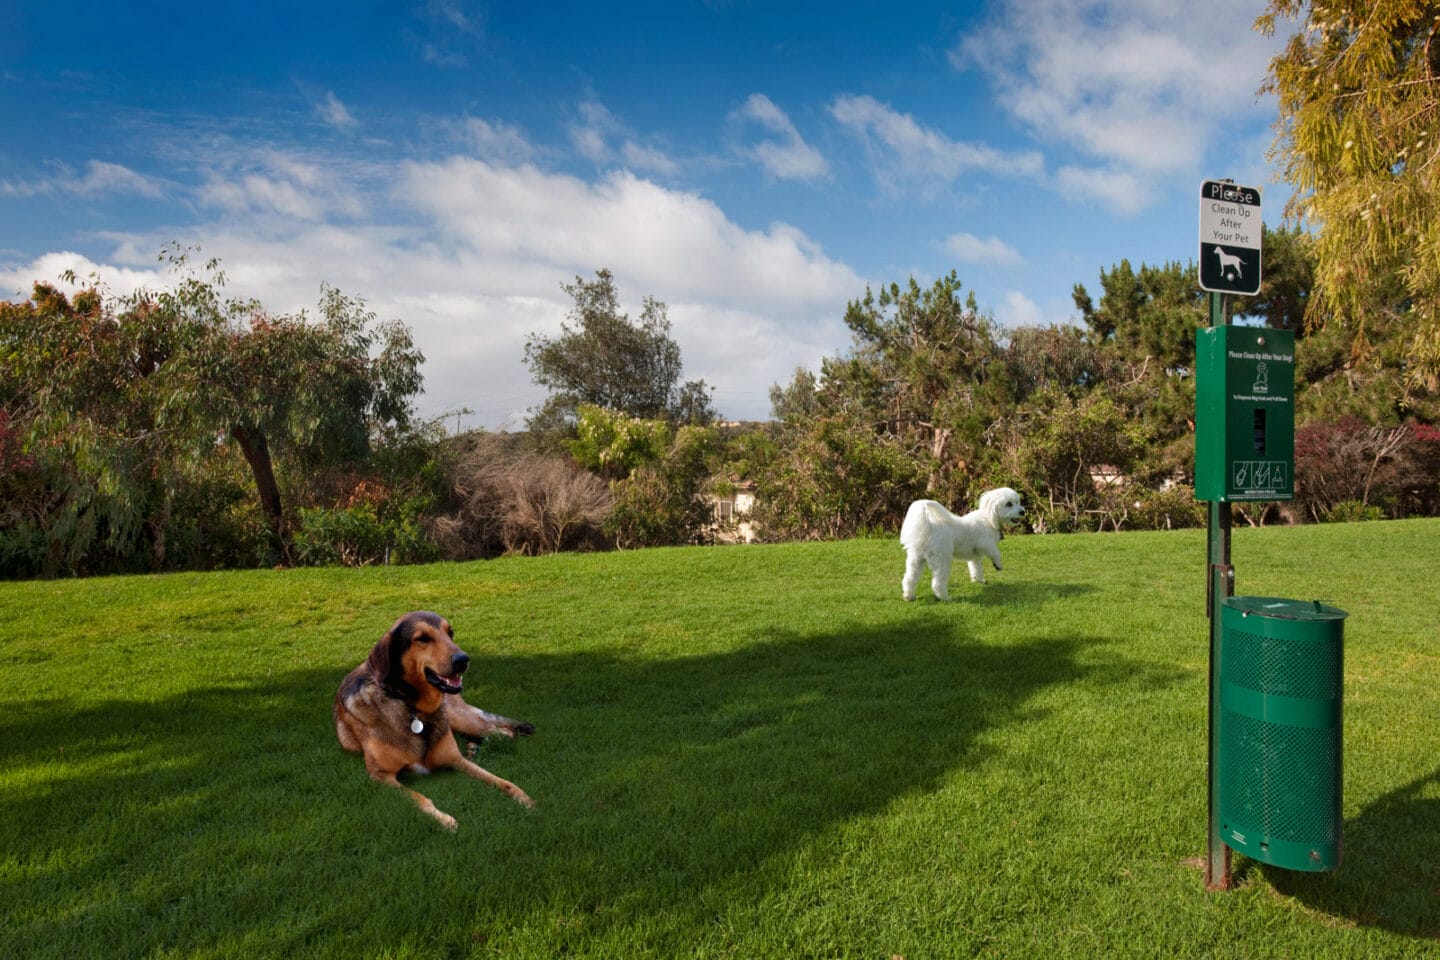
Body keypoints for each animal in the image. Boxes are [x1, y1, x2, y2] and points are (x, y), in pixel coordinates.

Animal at [334, 613, 538, 829]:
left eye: (451, 633)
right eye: (423, 638)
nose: (463, 659)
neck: (412, 707)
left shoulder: (456, 760)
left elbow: (502, 781)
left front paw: (524, 798)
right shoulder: (380, 775)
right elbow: (419, 798)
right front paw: (443, 818)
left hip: (460, 719)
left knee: (500, 731)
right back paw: (472, 747)